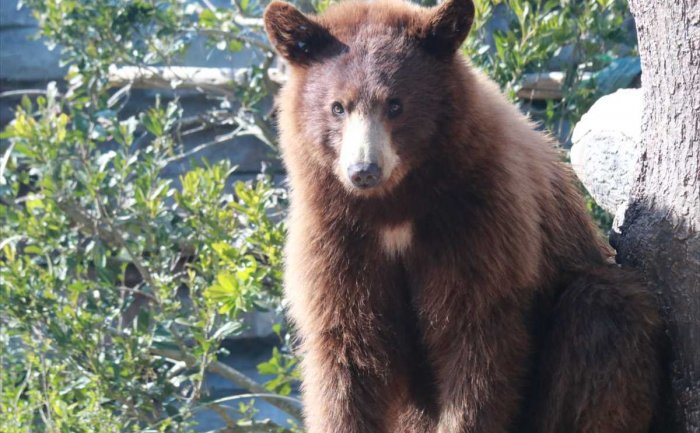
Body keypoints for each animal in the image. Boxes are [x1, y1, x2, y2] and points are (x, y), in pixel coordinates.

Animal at [262, 0, 660, 430]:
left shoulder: (479, 214)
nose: (363, 170)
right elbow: (350, 346)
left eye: (395, 104)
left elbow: (474, 333)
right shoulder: (336, 234)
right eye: (338, 107)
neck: (395, 204)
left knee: (603, 315)